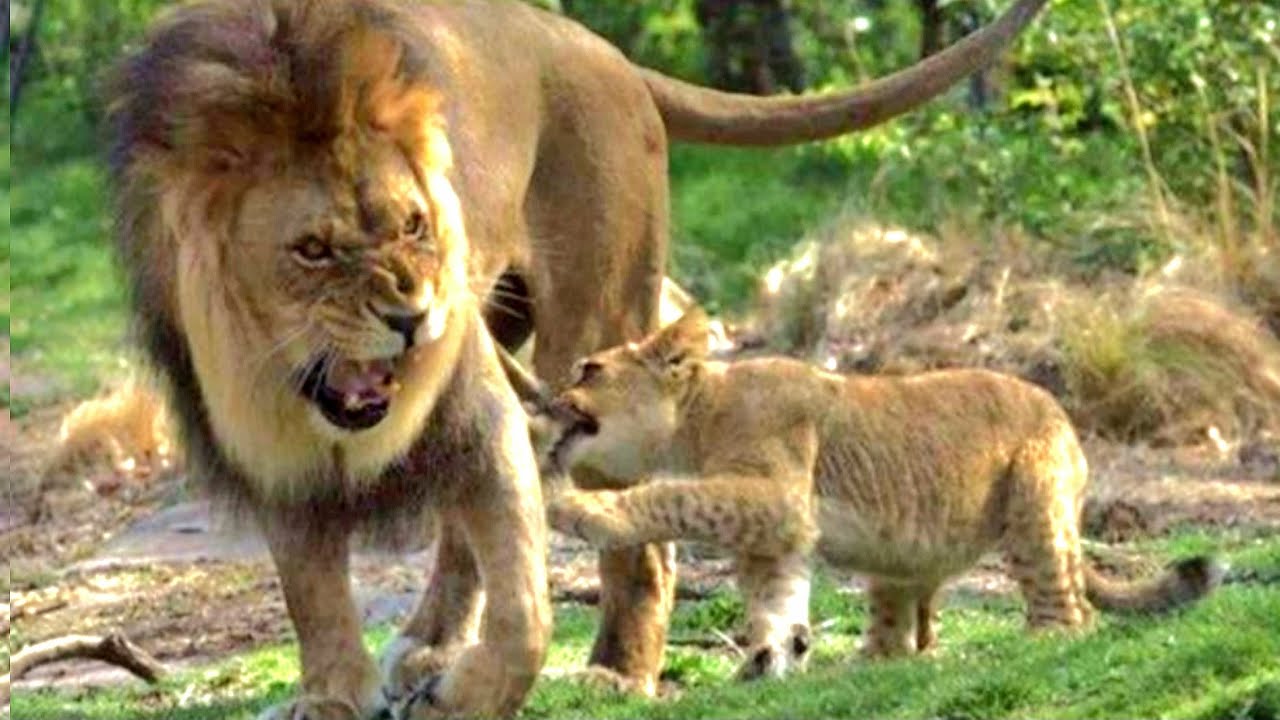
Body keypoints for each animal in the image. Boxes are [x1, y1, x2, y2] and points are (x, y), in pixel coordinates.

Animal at [106, 0, 1049, 716]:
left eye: (414, 224)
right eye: (311, 250)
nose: (415, 319)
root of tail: (602, 50)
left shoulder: (478, 397)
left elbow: (525, 604)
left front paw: (469, 695)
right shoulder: (262, 437)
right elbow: (312, 591)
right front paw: (336, 696)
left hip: (592, 321)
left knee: (641, 542)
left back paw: (613, 673)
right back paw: (425, 646)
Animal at [544, 309, 1222, 680]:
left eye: (589, 370)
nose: (549, 396)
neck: (696, 421)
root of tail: (1064, 416)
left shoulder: (776, 498)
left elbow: (672, 498)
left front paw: (580, 510)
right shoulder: (782, 531)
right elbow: (776, 598)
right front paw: (773, 659)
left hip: (1036, 501)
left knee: (1074, 608)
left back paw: (1045, 638)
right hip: (897, 560)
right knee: (901, 630)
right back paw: (871, 658)